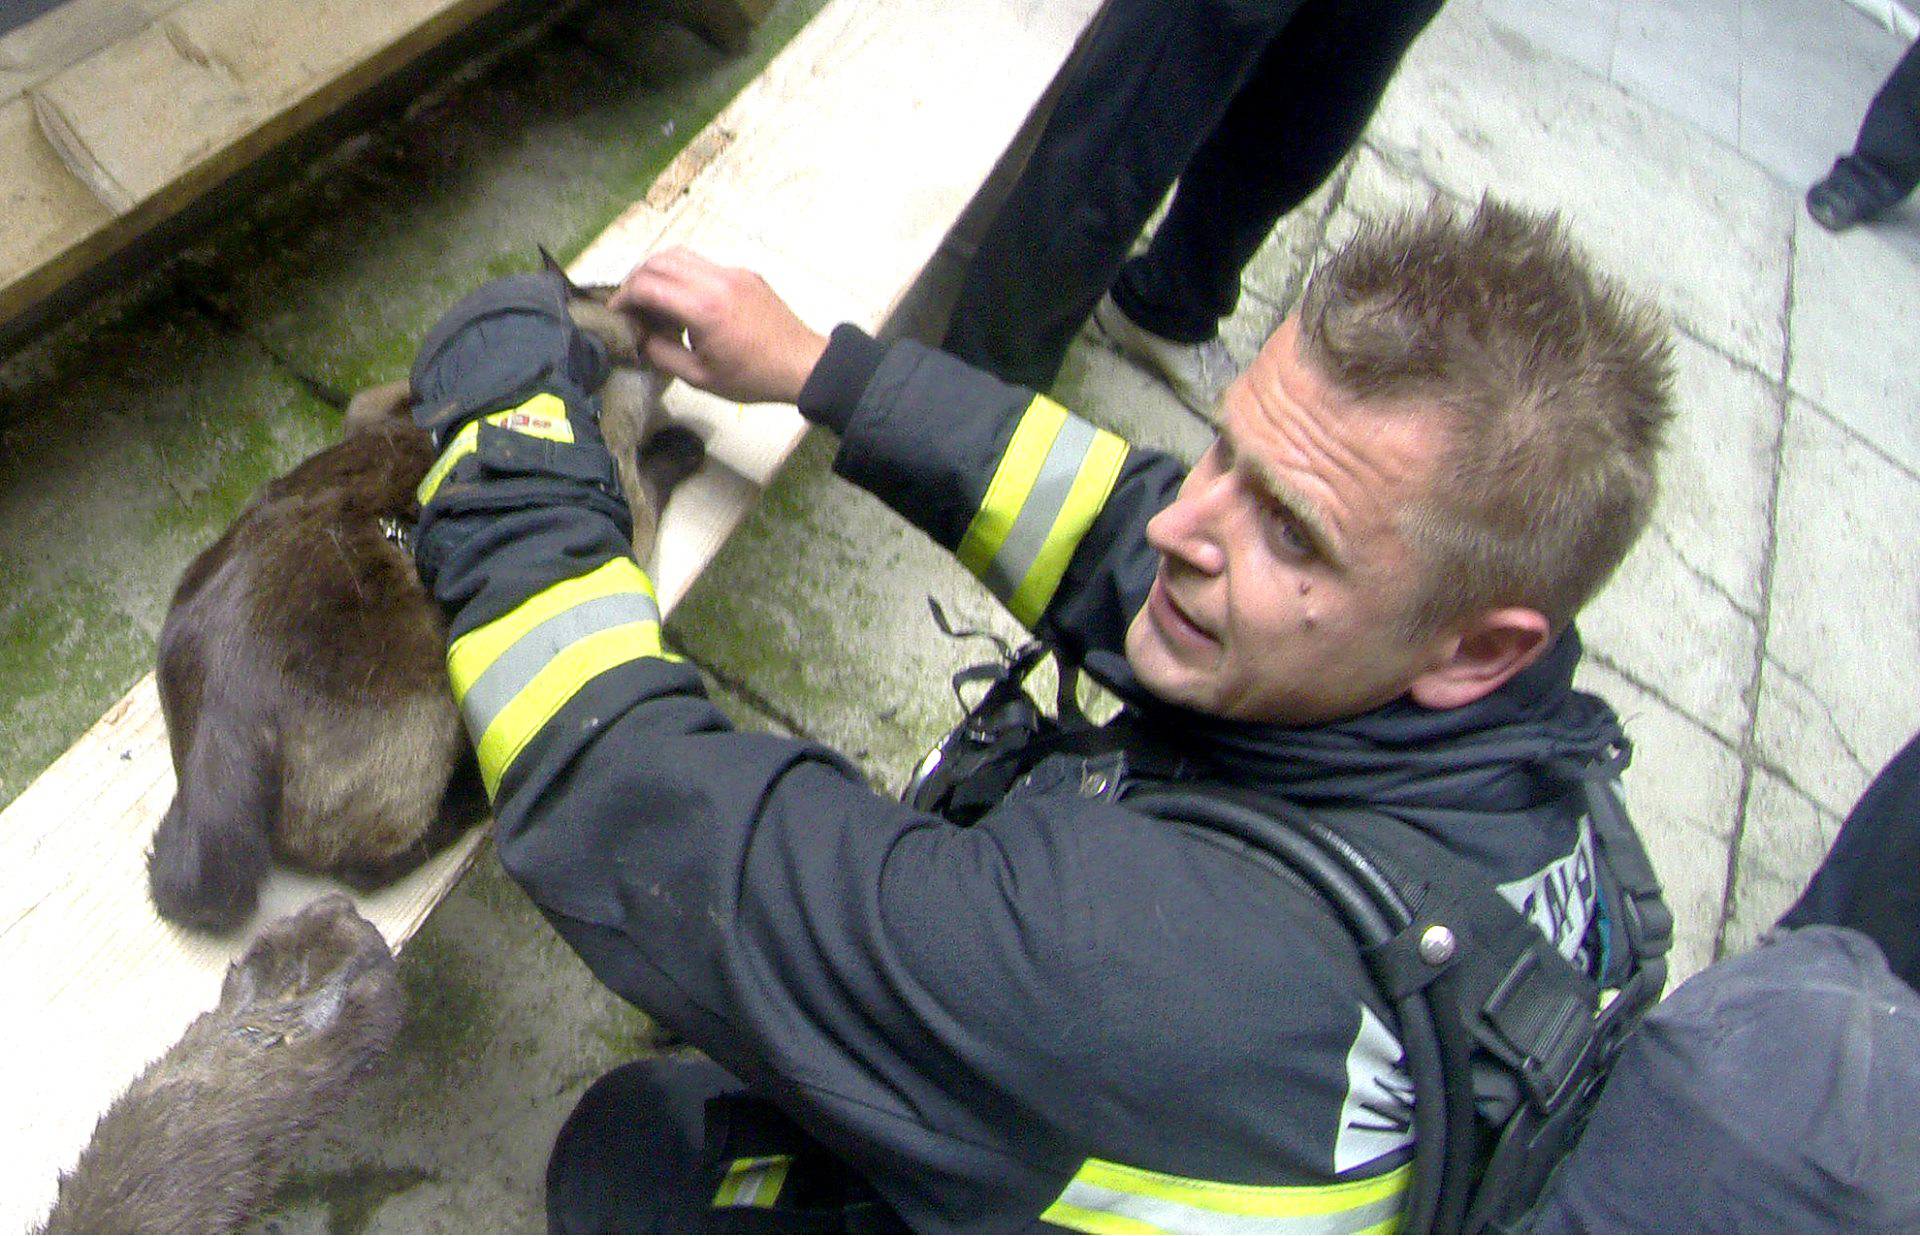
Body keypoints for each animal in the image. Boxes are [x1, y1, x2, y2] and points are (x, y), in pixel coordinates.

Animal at [147, 270, 706, 928]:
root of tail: (220, 721)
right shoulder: (630, 519)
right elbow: (659, 470)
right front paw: (684, 441)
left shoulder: (370, 406)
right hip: (438, 685)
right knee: (365, 868)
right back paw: (472, 800)